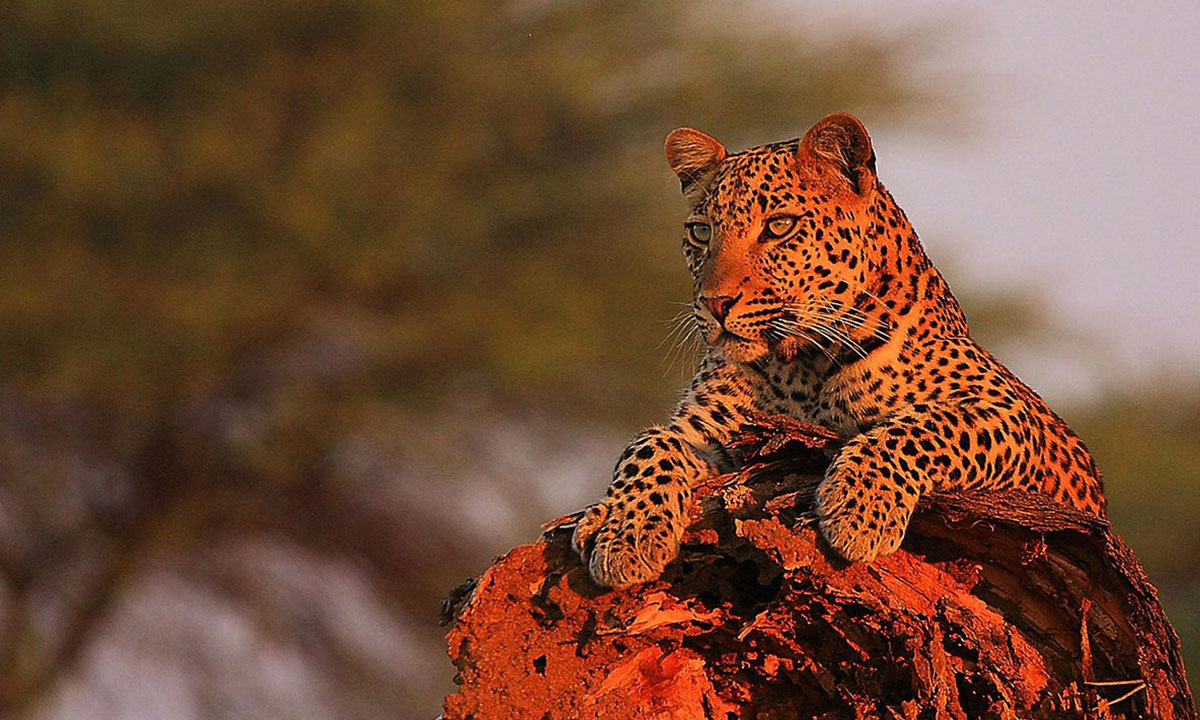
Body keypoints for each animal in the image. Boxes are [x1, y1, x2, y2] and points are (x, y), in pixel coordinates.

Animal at [571, 109, 1104, 588]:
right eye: (702, 232)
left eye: (779, 226)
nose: (714, 303)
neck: (799, 365)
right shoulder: (717, 436)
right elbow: (649, 442)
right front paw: (622, 528)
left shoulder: (1014, 414)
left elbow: (920, 426)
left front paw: (858, 508)